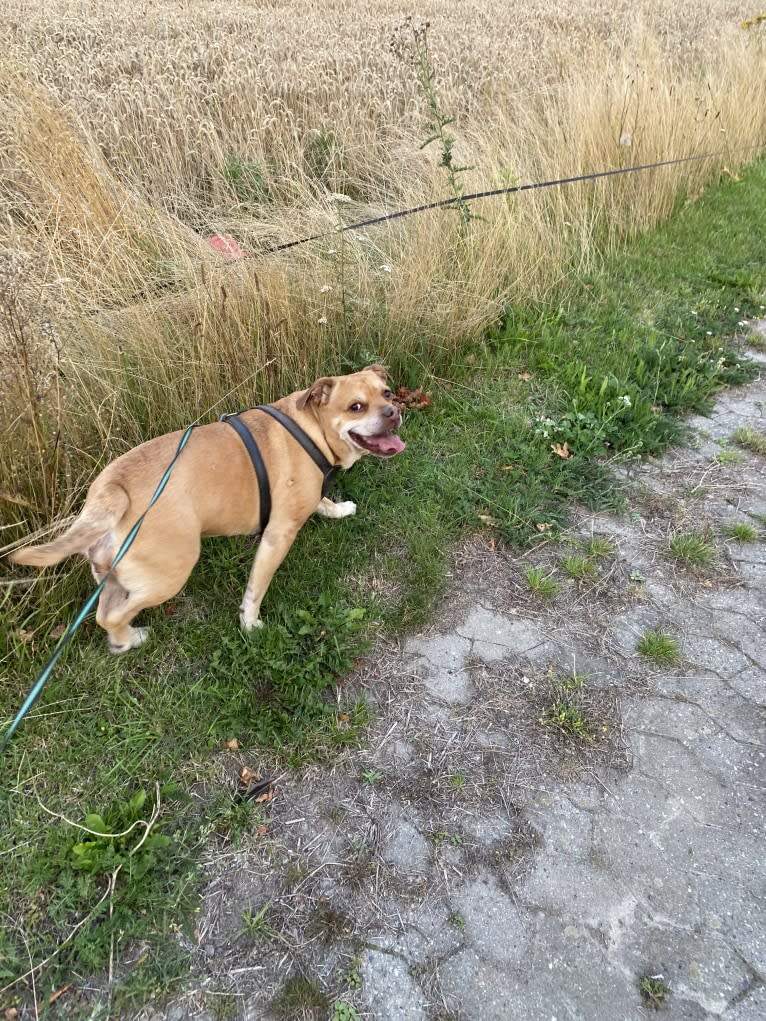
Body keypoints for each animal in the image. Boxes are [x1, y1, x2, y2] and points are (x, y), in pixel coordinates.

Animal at [9, 367, 404, 653]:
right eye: (355, 406)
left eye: (386, 393)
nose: (393, 412)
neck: (311, 428)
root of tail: (112, 490)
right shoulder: (277, 537)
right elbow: (256, 589)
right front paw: (250, 623)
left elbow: (324, 501)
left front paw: (338, 510)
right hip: (169, 574)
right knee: (112, 616)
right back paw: (130, 639)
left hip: (113, 575)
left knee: (105, 611)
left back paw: (125, 639)